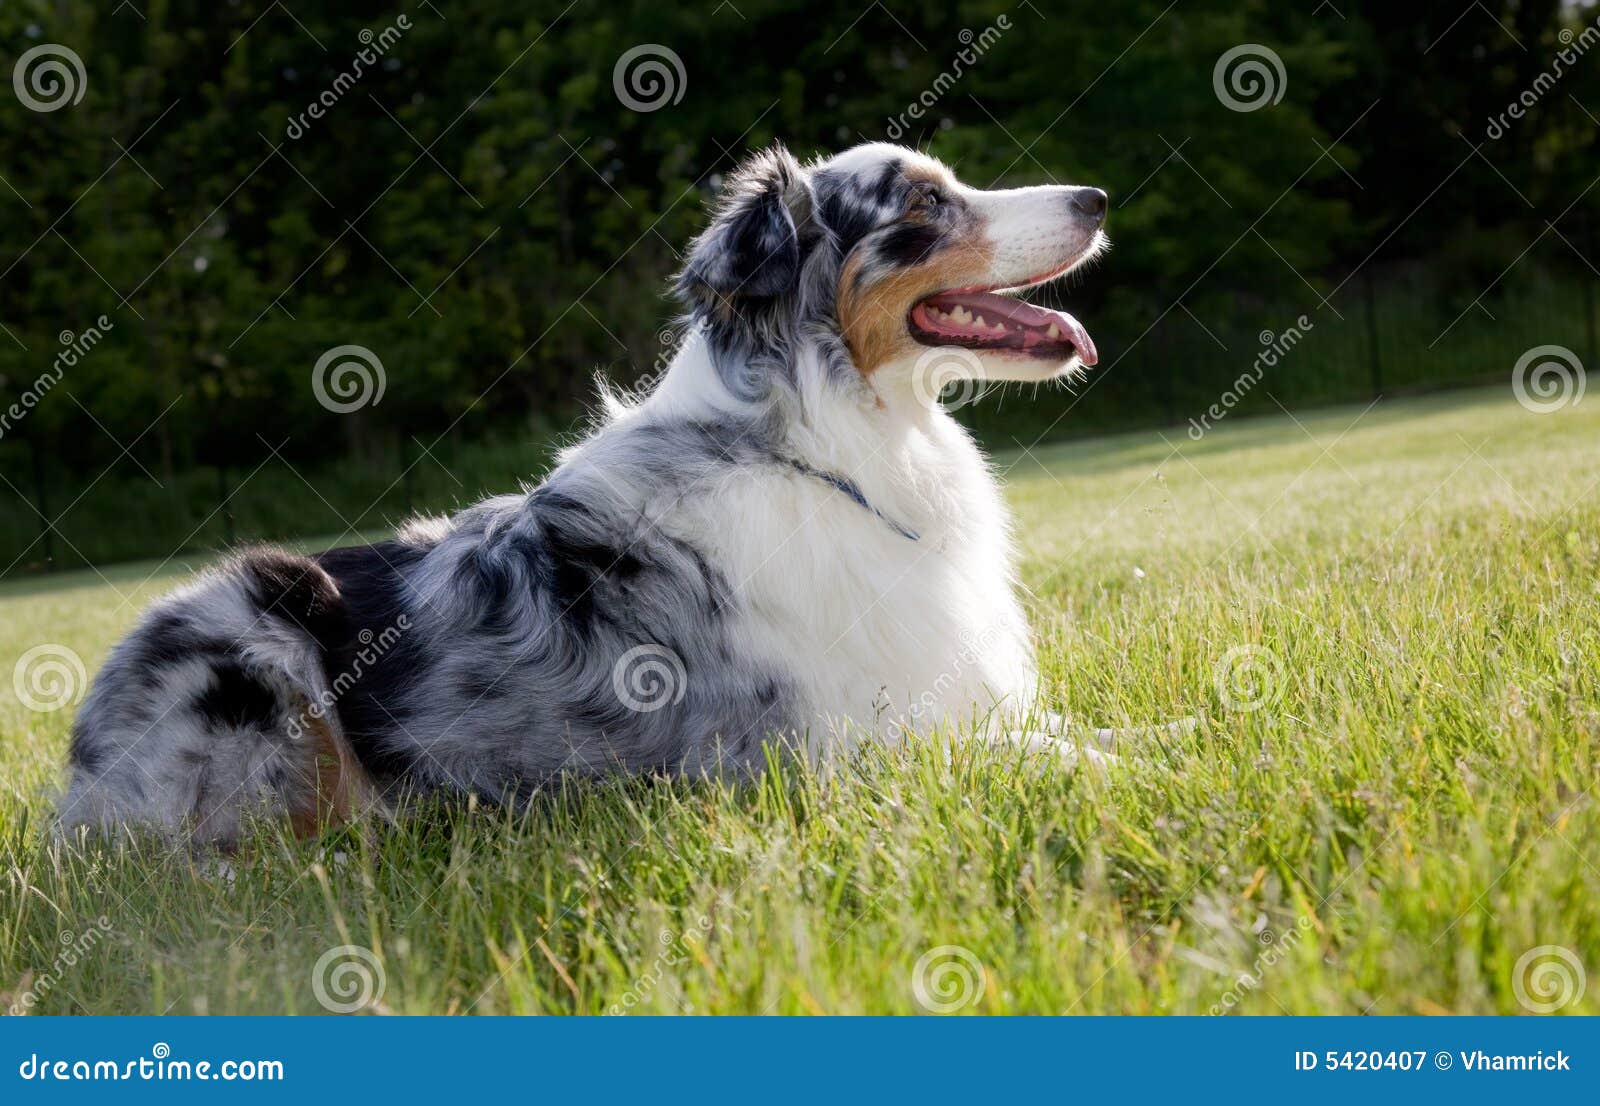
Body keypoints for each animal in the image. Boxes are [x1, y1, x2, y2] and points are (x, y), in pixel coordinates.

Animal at [59, 140, 1113, 845]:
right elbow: (1064, 756)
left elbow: (1092, 729)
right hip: (256, 628)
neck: (817, 446)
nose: (1098, 195)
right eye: (925, 203)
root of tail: (72, 782)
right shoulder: (813, 750)